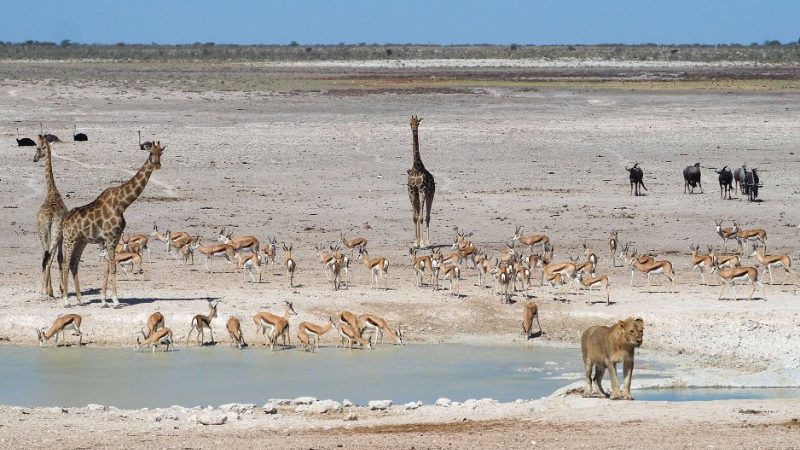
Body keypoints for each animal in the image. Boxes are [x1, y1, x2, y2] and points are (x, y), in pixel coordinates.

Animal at [60, 142, 166, 308]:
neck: (122, 204)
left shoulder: (114, 239)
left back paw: (80, 300)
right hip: (69, 239)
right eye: (150, 153)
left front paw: (104, 300)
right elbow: (113, 267)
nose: (157, 164)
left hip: (81, 241)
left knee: (74, 264)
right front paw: (115, 301)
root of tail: (65, 221)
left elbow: (107, 268)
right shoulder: (110, 238)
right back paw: (65, 301)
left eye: (160, 153)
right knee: (65, 264)